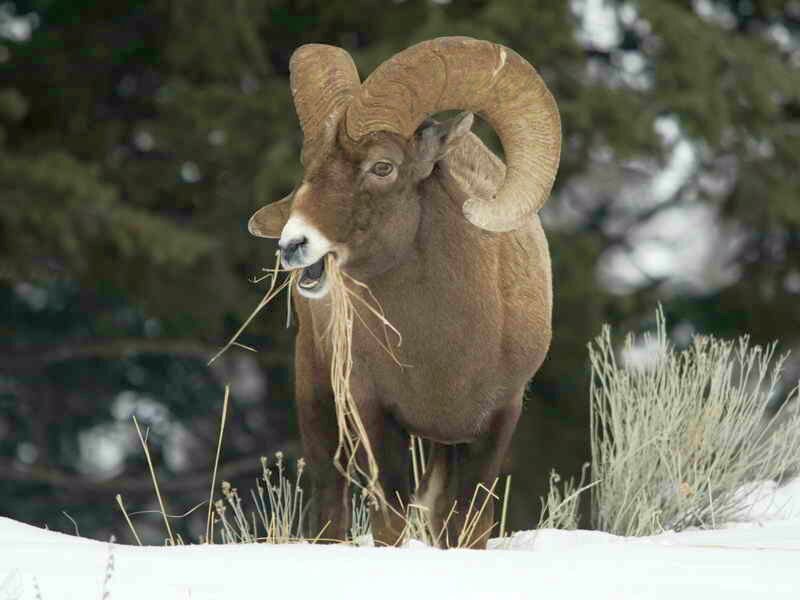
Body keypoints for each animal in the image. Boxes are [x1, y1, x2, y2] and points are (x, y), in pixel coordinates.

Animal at [247, 37, 561, 548]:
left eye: (383, 166)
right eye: (309, 164)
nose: (293, 244)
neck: (442, 351)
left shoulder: (497, 420)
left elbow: (468, 525)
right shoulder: (373, 412)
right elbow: (390, 522)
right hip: (316, 393)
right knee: (330, 503)